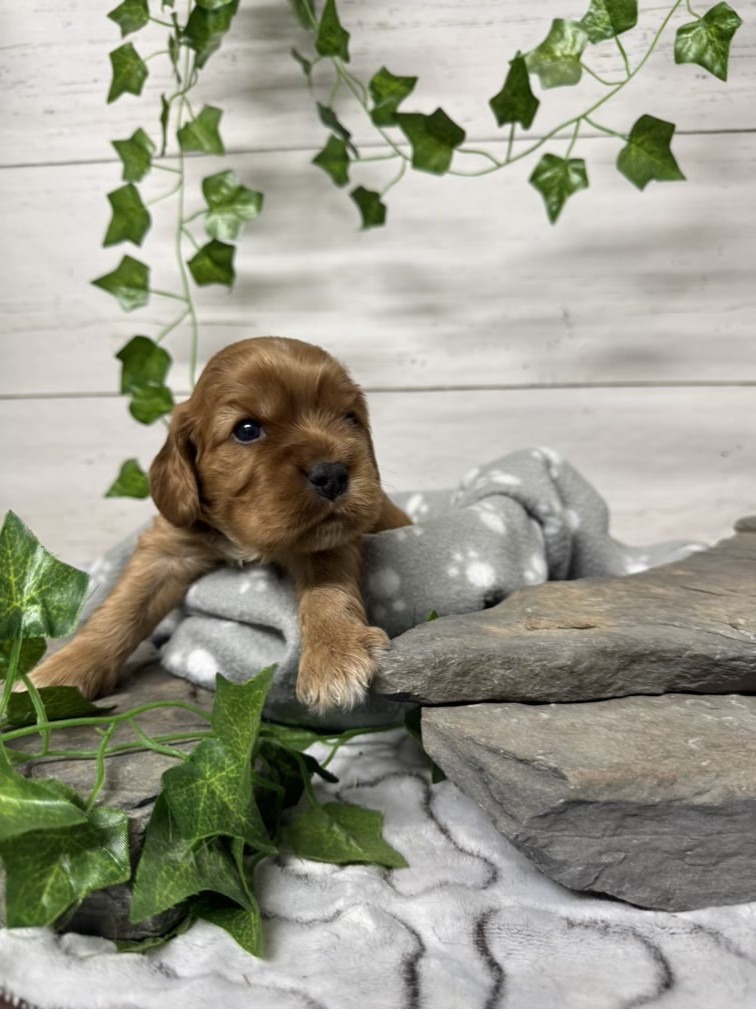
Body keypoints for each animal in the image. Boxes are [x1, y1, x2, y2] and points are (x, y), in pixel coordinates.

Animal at [30, 337, 412, 713]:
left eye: (349, 418)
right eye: (246, 430)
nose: (332, 475)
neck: (244, 539)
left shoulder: (329, 539)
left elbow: (327, 588)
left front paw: (335, 653)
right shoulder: (167, 548)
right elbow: (124, 606)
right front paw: (60, 673)